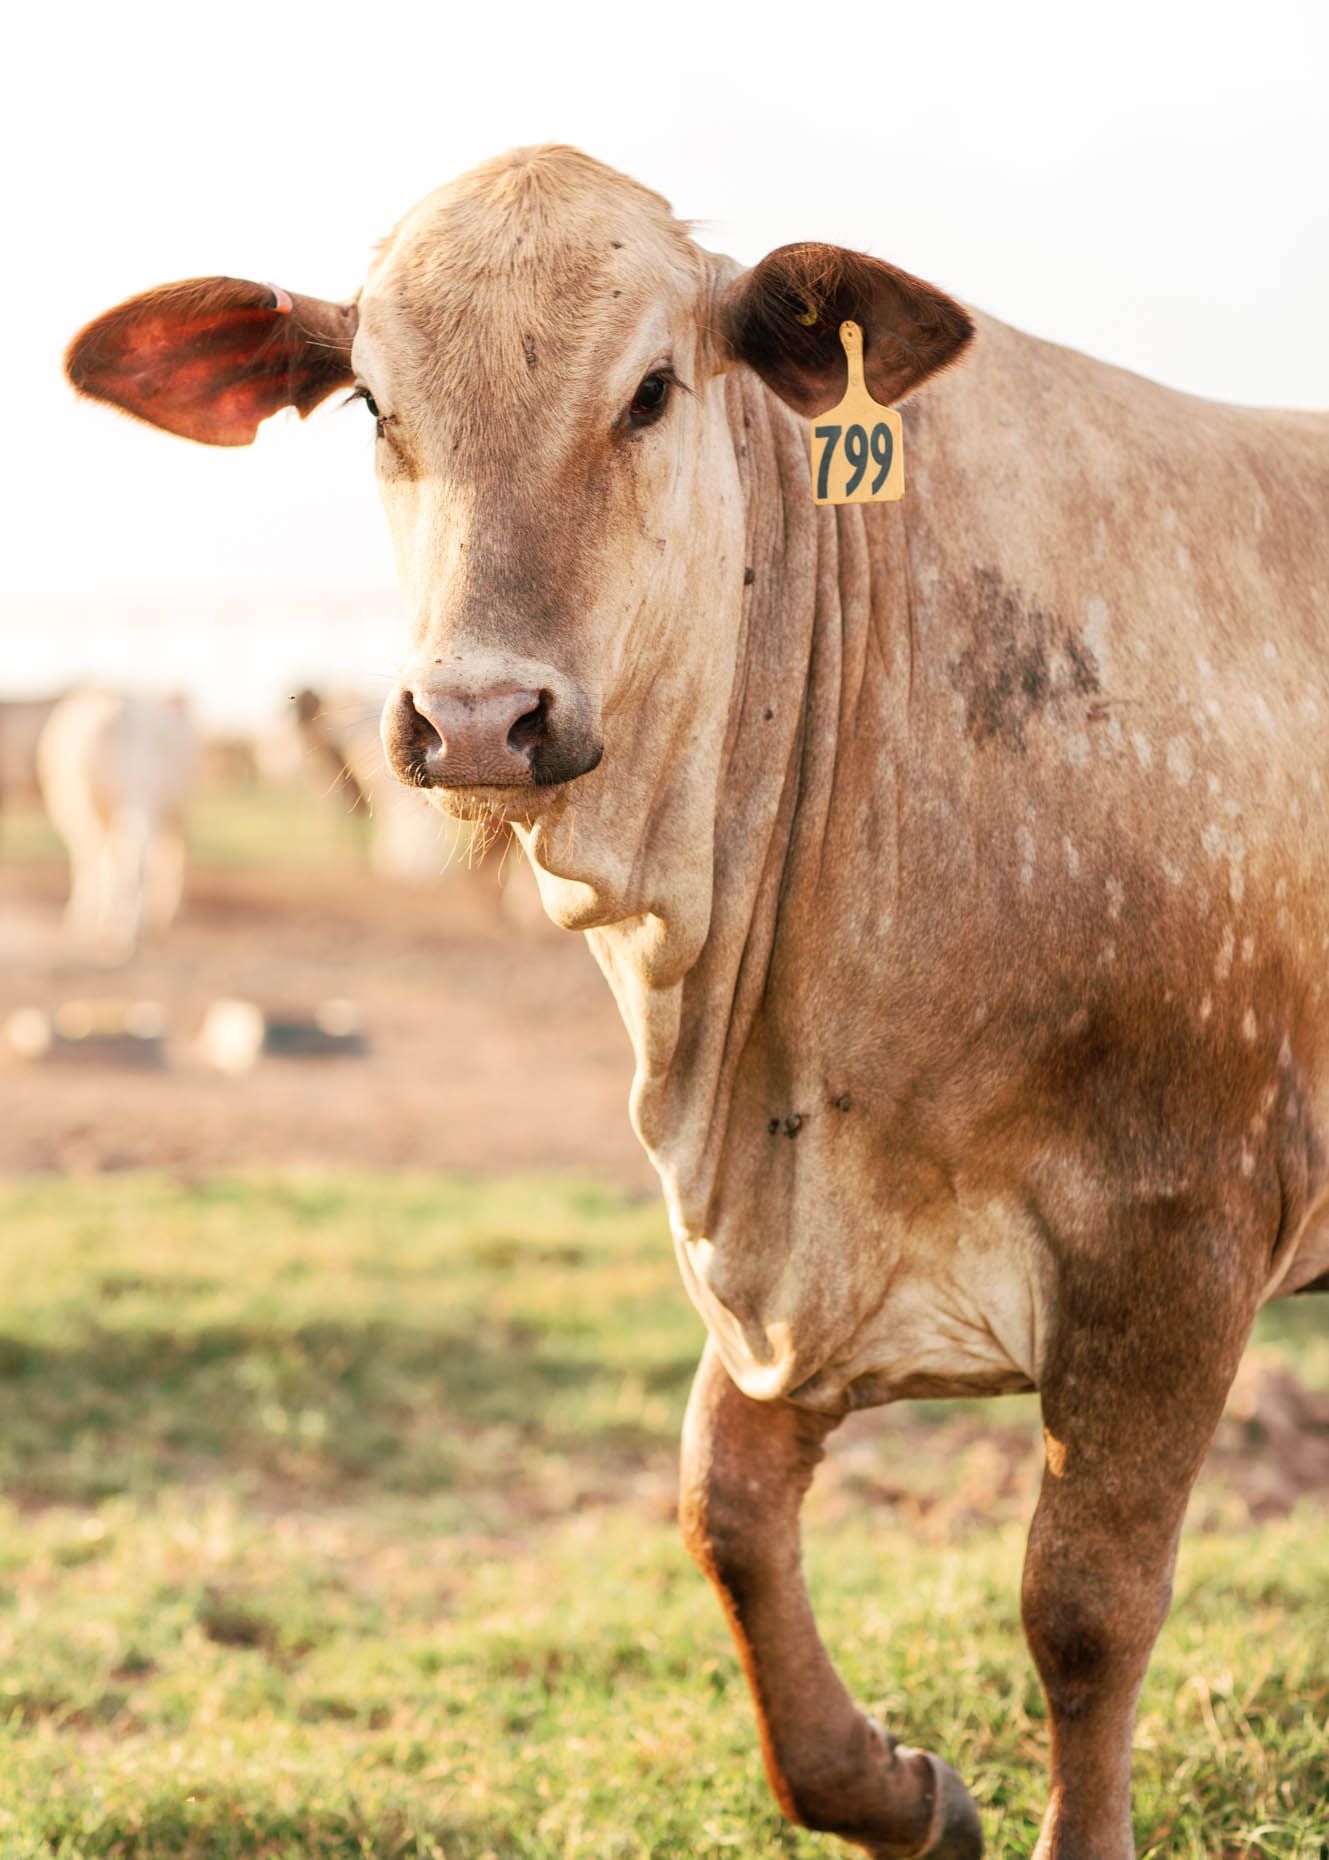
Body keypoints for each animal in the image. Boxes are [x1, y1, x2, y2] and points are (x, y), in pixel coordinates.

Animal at [37, 688, 196, 959]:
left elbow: (92, 863)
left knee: (127, 859)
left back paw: (119, 932)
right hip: (147, 803)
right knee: (135, 858)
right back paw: (128, 929)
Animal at [64, 145, 1329, 1857]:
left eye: (653, 390)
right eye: (374, 402)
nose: (478, 716)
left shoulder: (1179, 1233)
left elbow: (1083, 1604)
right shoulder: (788, 1258)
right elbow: (718, 1508)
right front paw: (897, 1791)